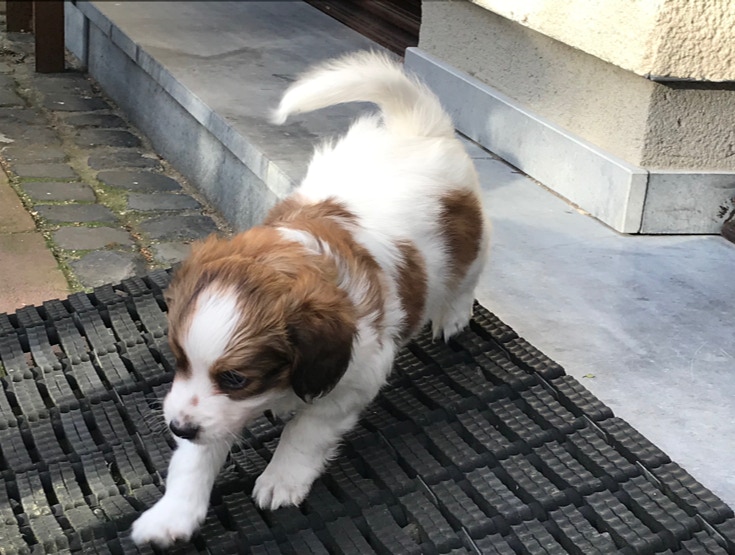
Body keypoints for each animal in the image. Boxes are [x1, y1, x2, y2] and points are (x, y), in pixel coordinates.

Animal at [131, 50, 490, 546]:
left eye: (236, 379)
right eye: (178, 359)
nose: (177, 427)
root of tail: (416, 129)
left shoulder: (351, 383)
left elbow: (304, 435)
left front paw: (281, 478)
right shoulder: (209, 408)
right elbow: (196, 456)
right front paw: (172, 514)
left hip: (469, 245)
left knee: (468, 277)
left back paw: (453, 315)